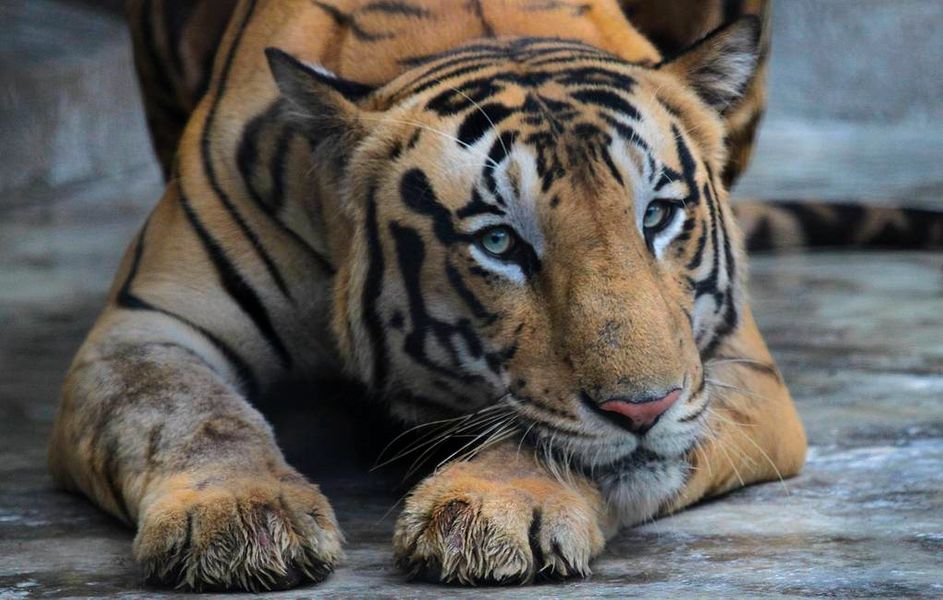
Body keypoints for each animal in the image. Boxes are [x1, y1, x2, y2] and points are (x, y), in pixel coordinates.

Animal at [49, 0, 943, 592]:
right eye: (500, 244)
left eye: (655, 215)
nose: (642, 408)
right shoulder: (146, 326)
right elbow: (182, 411)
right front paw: (239, 516)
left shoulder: (731, 367)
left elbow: (565, 447)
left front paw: (488, 510)